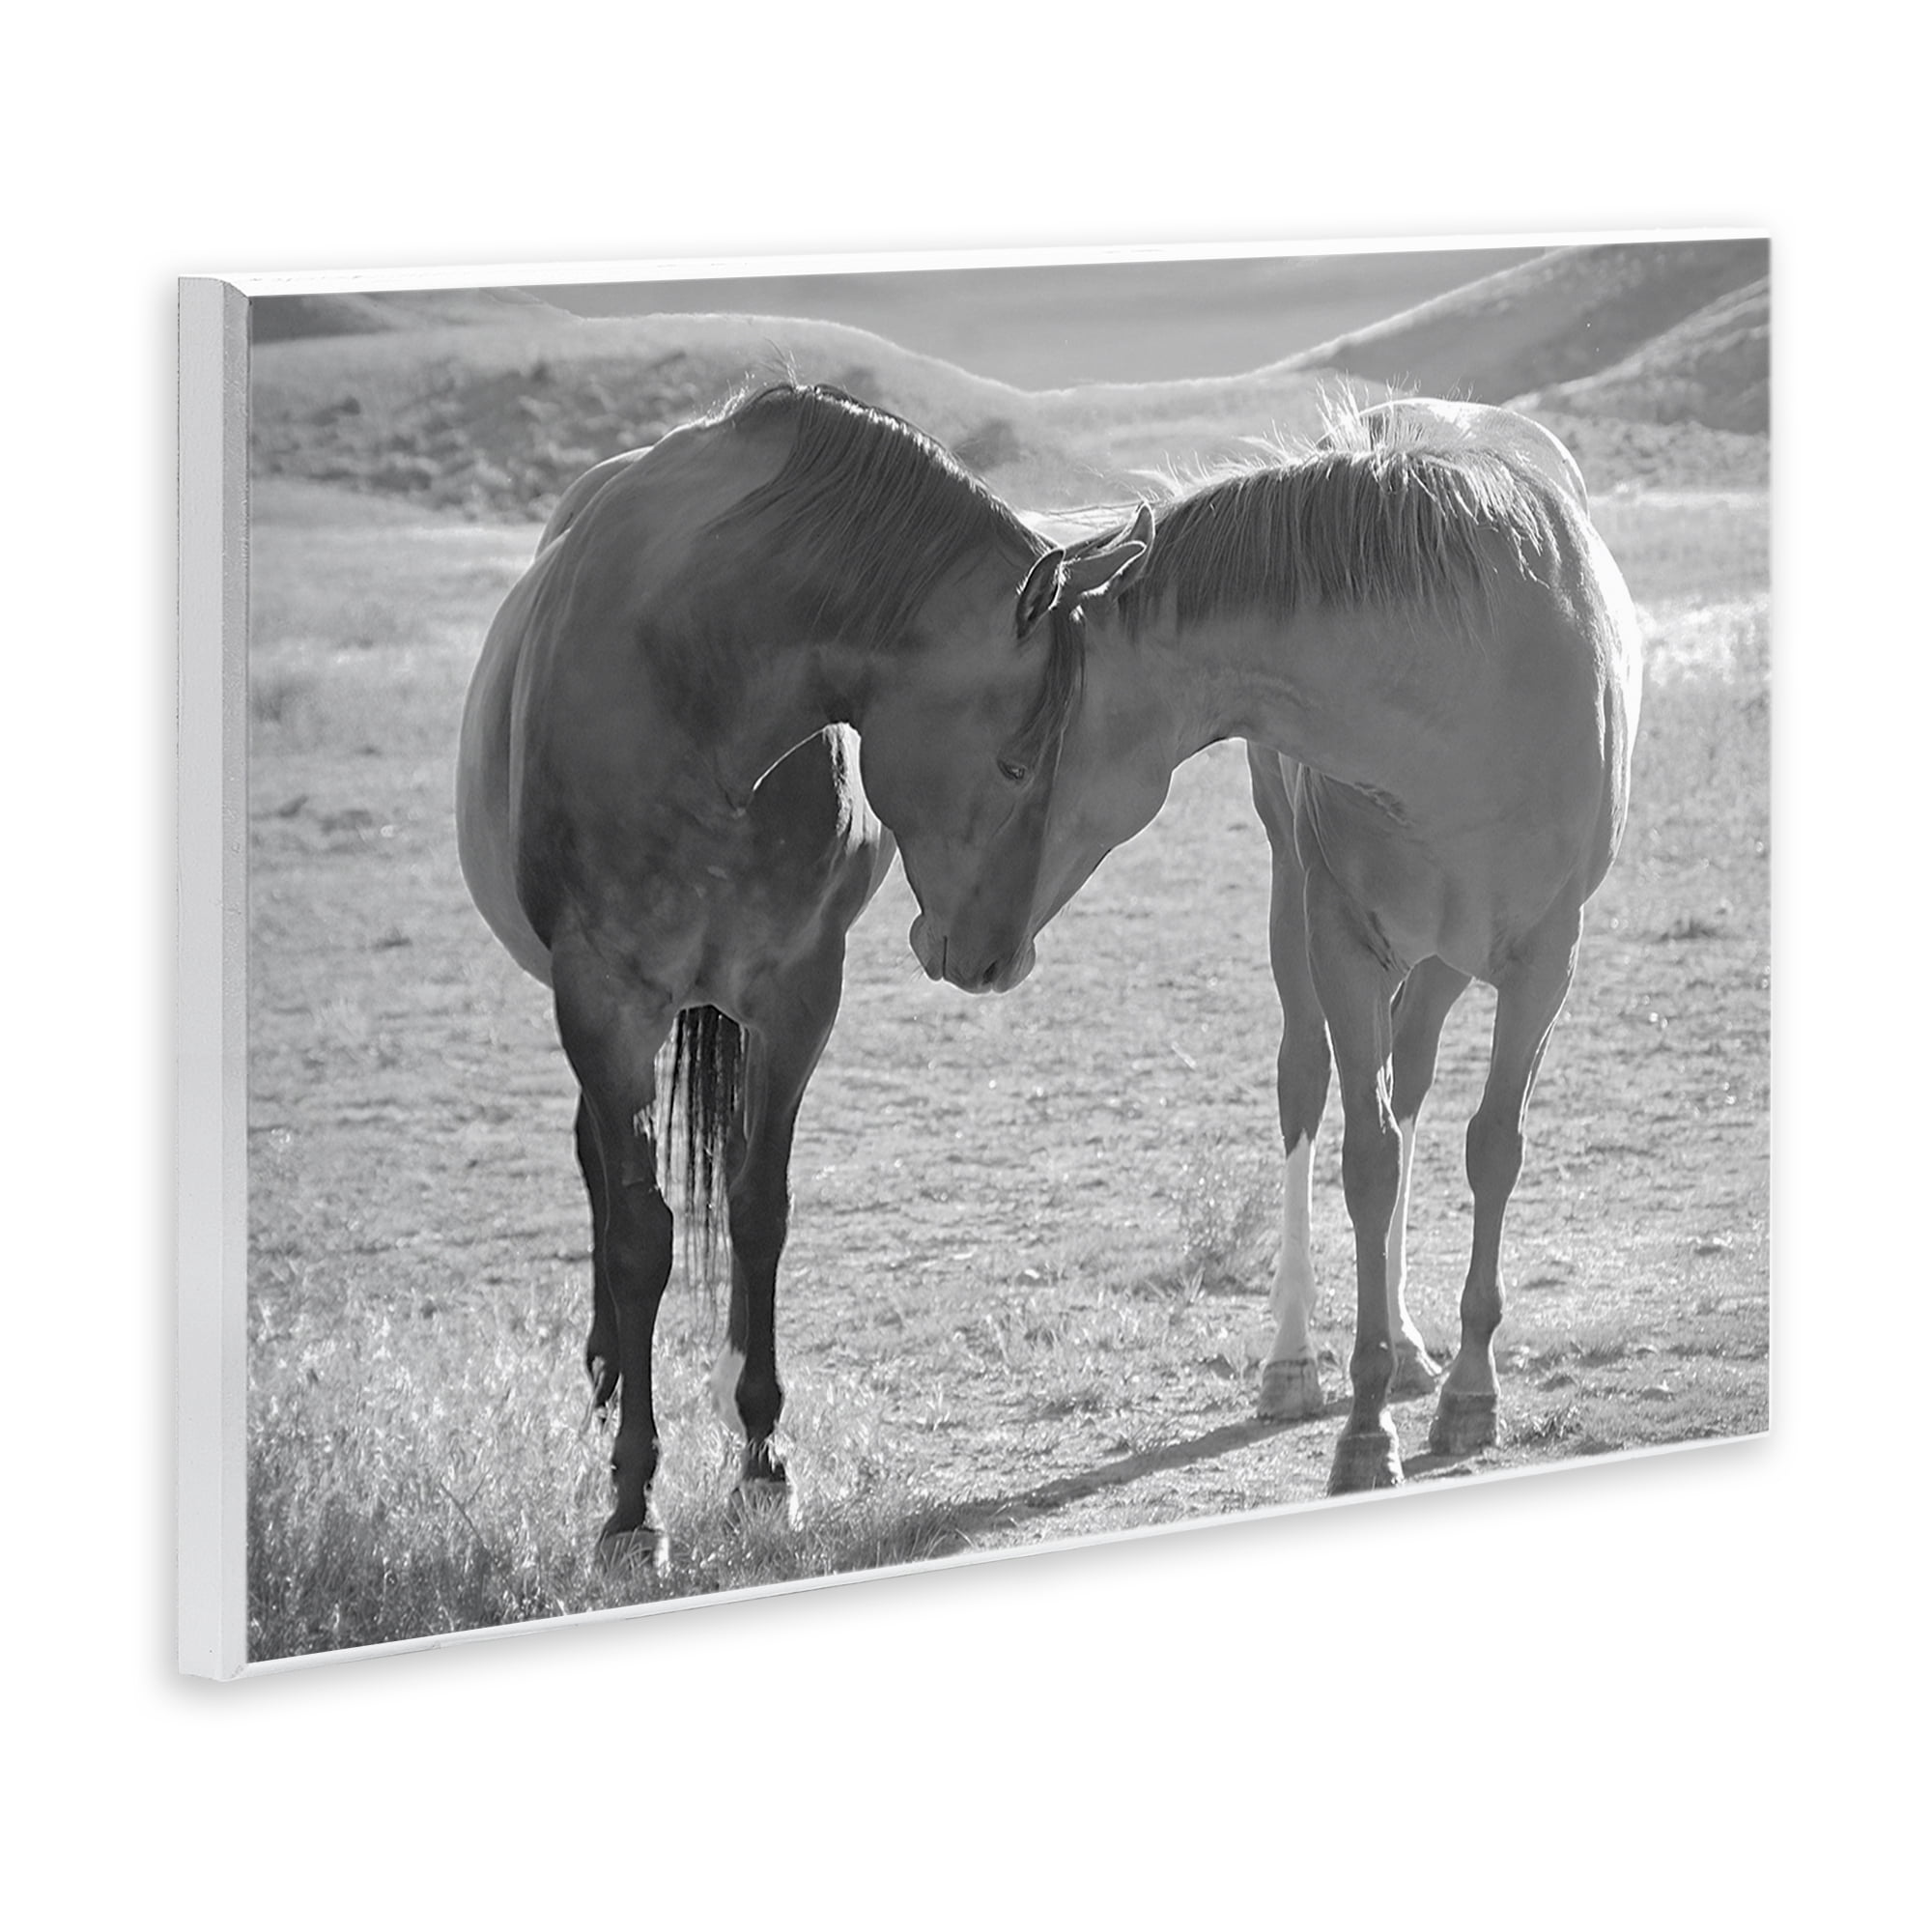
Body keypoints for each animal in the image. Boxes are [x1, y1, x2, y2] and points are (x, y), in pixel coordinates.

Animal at [456, 382, 1149, 1565]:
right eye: (1017, 760)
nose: (995, 959)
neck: (693, 681)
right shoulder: (601, 998)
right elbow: (640, 1234)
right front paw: (632, 1501)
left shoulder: (795, 993)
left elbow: (758, 1207)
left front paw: (761, 1455)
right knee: (599, 1163)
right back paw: (607, 1366)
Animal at [1028, 397, 1643, 1494]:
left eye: (1041, 724)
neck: (1458, 696)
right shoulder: (1342, 942)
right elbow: (1364, 1158)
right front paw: (1362, 1424)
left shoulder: (1545, 956)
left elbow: (1491, 1145)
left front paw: (1468, 1391)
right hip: (1299, 903)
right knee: (1307, 1083)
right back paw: (1292, 1361)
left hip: (1442, 956)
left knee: (1413, 1074)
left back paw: (1409, 1341)